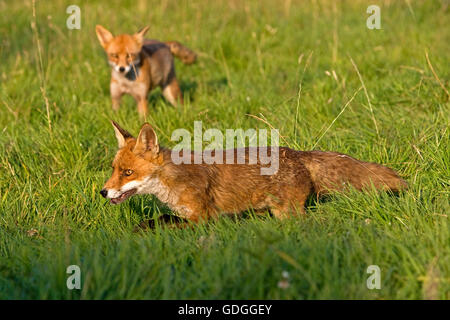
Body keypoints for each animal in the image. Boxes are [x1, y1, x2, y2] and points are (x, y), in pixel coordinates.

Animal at [99, 121, 408, 224]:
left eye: (127, 172)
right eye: (114, 170)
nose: (102, 192)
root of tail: (298, 152)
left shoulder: (203, 218)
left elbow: (158, 222)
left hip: (287, 213)